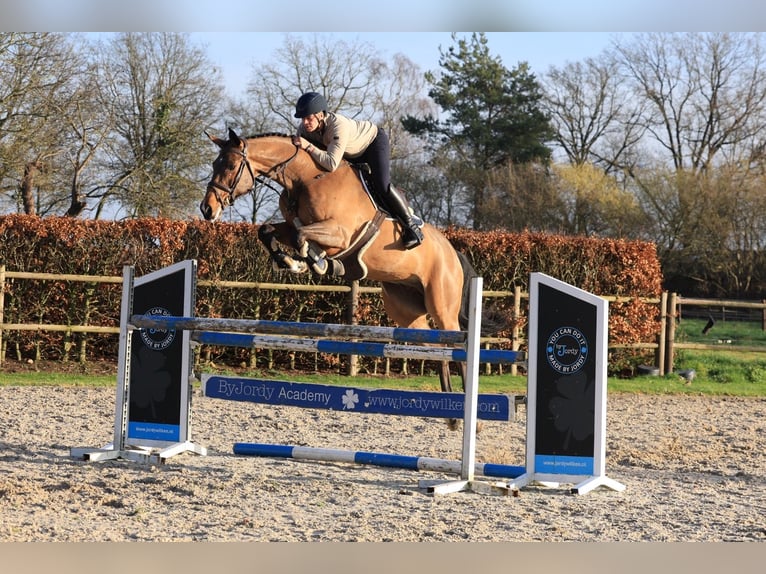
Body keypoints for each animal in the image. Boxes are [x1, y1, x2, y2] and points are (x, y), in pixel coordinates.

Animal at [200, 129, 499, 426]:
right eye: (214, 164)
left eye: (230, 166)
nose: (207, 209)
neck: (305, 178)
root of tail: (452, 251)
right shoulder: (294, 225)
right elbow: (268, 230)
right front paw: (291, 262)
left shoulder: (339, 233)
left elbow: (302, 237)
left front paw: (317, 262)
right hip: (407, 312)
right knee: (437, 349)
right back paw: (451, 415)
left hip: (442, 305)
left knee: (456, 348)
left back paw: (466, 416)